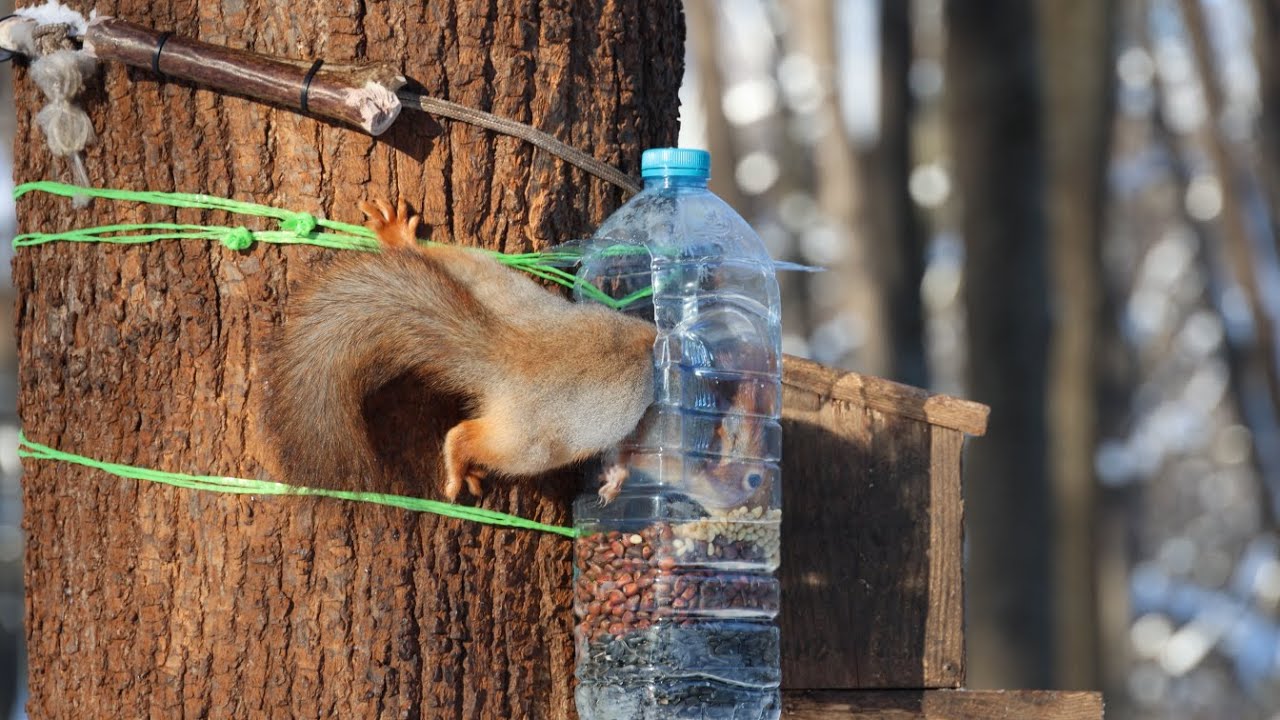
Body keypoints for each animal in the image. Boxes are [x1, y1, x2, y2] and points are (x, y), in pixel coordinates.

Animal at [260, 199, 658, 501]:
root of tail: (512, 347)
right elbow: (633, 450)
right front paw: (618, 480)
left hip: (489, 280)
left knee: (441, 258)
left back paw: (399, 238)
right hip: (527, 444)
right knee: (465, 437)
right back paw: (458, 466)